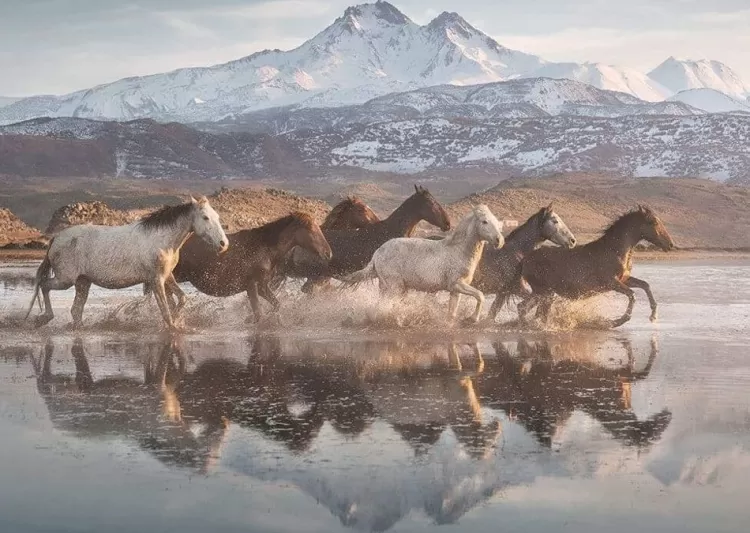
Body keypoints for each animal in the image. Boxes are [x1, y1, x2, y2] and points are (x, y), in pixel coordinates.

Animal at [25, 195, 229, 328]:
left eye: (218, 217)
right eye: (205, 217)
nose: (223, 244)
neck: (162, 239)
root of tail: (56, 238)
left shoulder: (166, 277)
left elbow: (181, 299)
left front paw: (179, 320)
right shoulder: (155, 280)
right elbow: (165, 312)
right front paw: (173, 327)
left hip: (83, 282)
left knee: (76, 310)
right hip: (65, 279)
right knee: (44, 285)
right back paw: (43, 318)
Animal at [166, 211, 334, 320]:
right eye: (311, 229)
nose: (329, 253)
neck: (266, 248)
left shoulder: (262, 286)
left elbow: (276, 305)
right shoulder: (252, 285)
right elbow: (258, 314)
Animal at [342, 203, 506, 320]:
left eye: (497, 222)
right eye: (484, 222)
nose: (499, 241)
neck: (459, 250)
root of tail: (377, 254)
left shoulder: (456, 290)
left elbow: (452, 313)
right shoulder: (456, 284)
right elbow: (480, 295)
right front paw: (472, 319)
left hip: (386, 287)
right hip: (394, 287)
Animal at [516, 205, 676, 326]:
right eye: (653, 222)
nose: (670, 244)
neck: (614, 250)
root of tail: (525, 259)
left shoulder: (624, 279)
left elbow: (645, 285)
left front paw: (653, 315)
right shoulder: (611, 282)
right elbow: (632, 294)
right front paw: (618, 321)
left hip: (544, 293)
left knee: (526, 309)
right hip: (543, 292)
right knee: (527, 309)